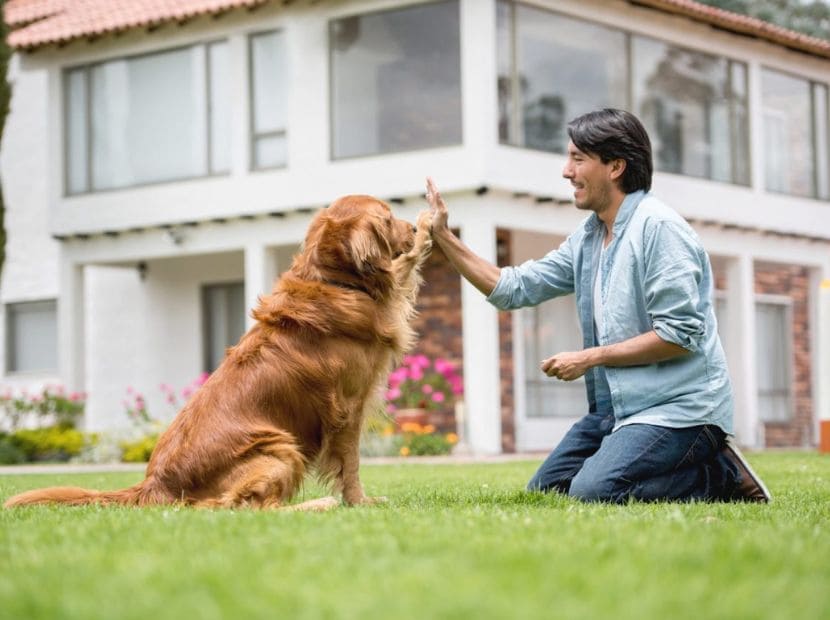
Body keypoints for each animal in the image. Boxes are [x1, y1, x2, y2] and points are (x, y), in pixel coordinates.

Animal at [4, 196, 436, 512]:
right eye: (388, 218)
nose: (412, 227)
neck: (333, 281)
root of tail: (154, 484)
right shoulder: (347, 407)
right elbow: (351, 465)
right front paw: (360, 502)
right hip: (280, 447)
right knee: (244, 507)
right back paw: (318, 505)